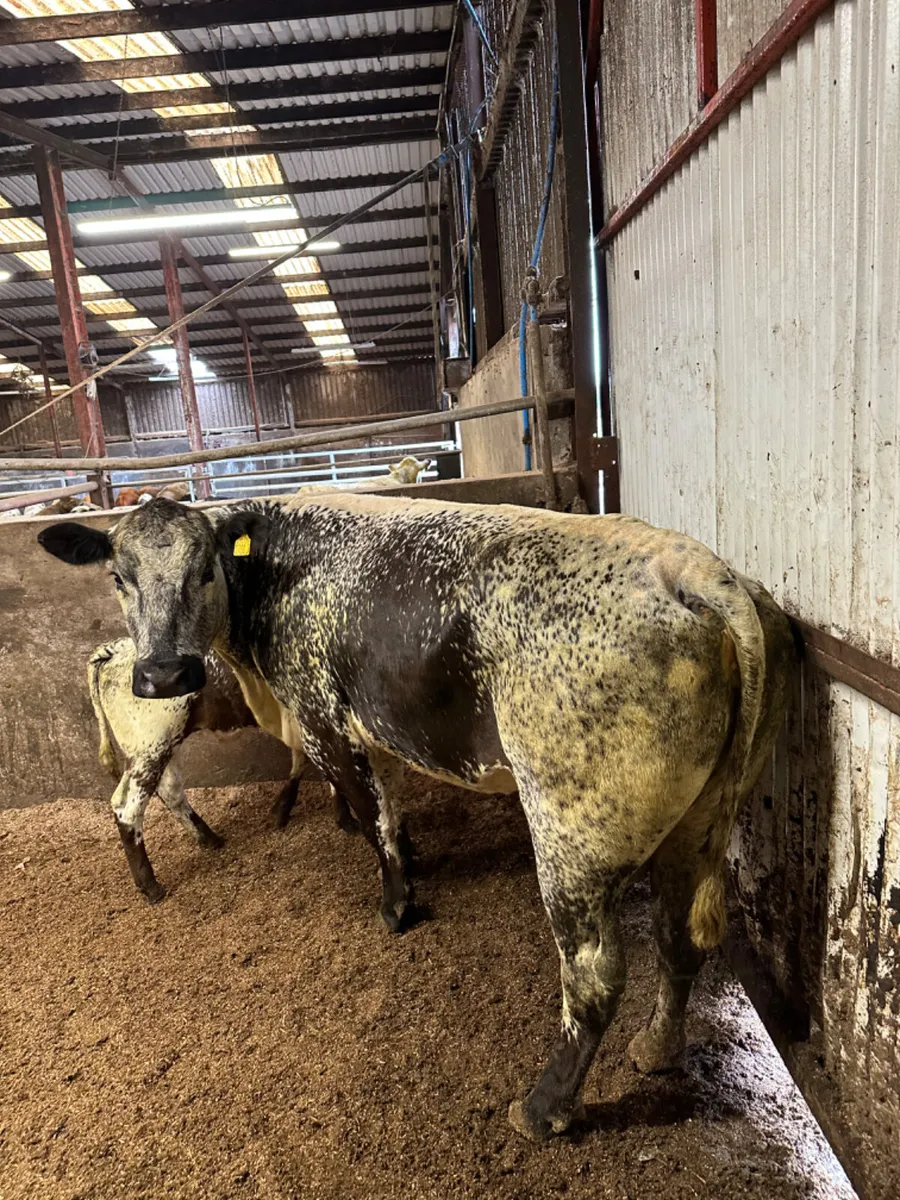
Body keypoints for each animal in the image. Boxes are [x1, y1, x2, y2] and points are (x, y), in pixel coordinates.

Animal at [87, 637, 358, 903]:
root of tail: (116, 649)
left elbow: (303, 761)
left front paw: (283, 810)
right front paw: (344, 819)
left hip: (167, 741)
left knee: (170, 789)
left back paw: (210, 839)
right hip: (150, 746)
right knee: (128, 806)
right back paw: (151, 886)